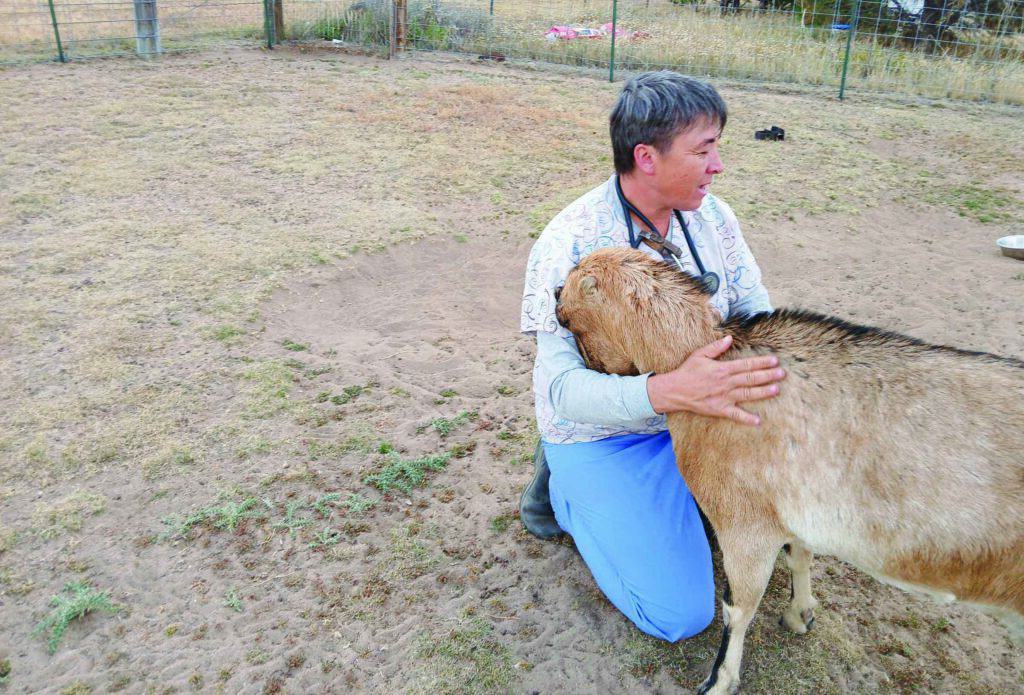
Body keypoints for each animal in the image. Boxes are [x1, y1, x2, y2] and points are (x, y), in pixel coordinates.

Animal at [557, 248, 1024, 695]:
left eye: (571, 321)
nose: (594, 368)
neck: (713, 358)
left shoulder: (744, 524)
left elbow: (738, 607)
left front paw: (718, 682)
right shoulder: (790, 509)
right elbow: (800, 555)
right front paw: (801, 614)